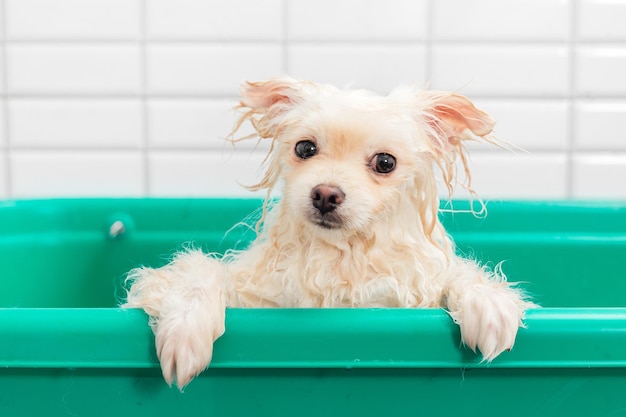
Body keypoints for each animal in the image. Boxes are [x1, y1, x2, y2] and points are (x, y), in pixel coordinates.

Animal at [125, 76, 532, 388]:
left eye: (385, 162)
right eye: (305, 147)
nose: (325, 194)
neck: (340, 257)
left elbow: (459, 273)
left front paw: (489, 305)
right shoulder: (251, 292)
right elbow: (198, 272)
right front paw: (186, 330)